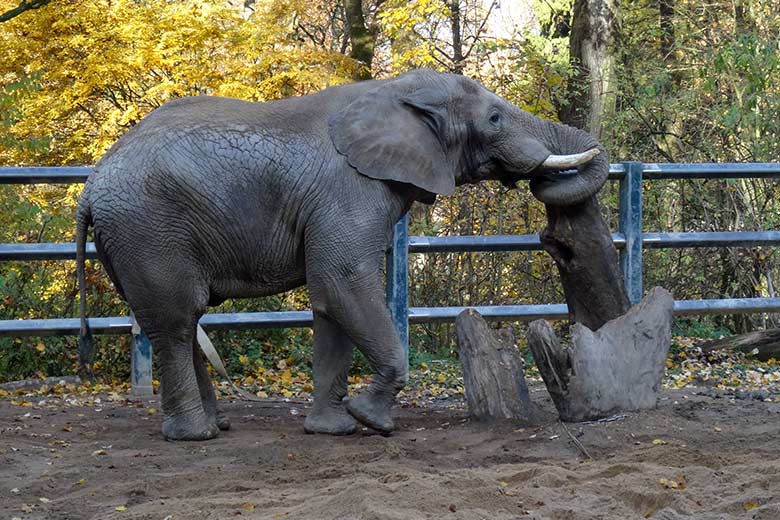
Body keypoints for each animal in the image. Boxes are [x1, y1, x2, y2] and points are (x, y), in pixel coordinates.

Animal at [74, 69, 608, 440]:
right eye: (494, 118)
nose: (539, 183)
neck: (394, 90)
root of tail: (90, 188)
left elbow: (331, 302)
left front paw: (335, 430)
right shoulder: (349, 190)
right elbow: (341, 281)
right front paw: (372, 422)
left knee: (181, 321)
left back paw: (217, 425)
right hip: (148, 230)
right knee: (177, 320)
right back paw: (196, 436)